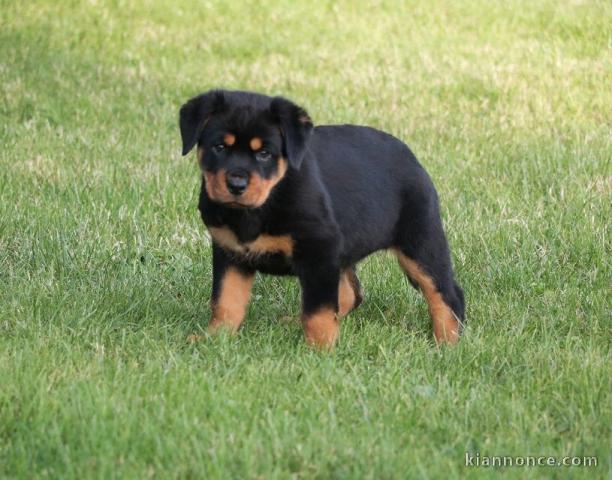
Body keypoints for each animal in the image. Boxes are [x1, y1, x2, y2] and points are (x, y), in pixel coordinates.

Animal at [179, 89, 466, 344]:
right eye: (219, 147)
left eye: (264, 153)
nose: (236, 184)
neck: (261, 206)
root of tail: (412, 157)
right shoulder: (230, 252)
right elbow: (226, 301)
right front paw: (214, 338)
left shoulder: (319, 250)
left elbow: (317, 311)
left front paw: (319, 349)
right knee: (351, 294)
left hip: (420, 241)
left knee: (447, 294)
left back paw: (447, 343)